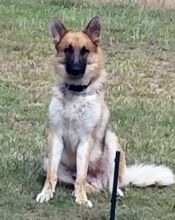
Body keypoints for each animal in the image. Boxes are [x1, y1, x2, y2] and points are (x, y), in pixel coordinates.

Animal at [36, 16, 174, 206]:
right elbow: (52, 175)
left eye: (85, 51)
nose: (76, 70)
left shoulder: (85, 141)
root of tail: (98, 181)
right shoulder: (56, 137)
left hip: (111, 140)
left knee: (109, 184)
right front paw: (47, 193)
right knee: (84, 183)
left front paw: (81, 199)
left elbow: (81, 175)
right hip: (49, 161)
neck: (75, 93)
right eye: (68, 50)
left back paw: (111, 192)